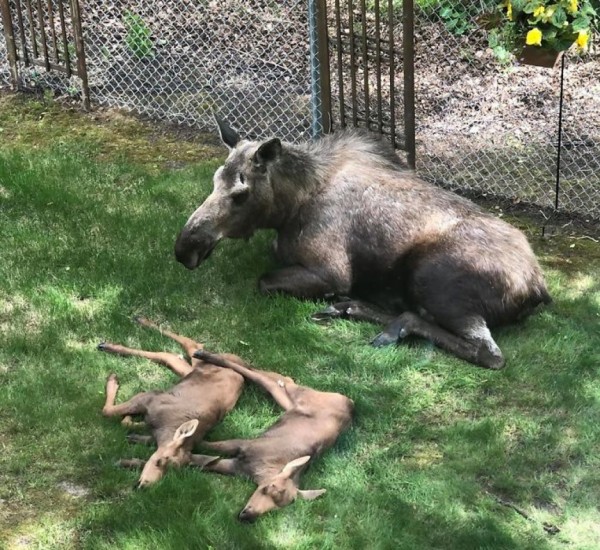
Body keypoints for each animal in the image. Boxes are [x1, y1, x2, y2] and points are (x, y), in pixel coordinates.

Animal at [99, 320, 245, 492]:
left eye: (173, 471)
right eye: (160, 460)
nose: (145, 485)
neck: (164, 429)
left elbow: (126, 423)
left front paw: (131, 423)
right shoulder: (150, 397)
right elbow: (108, 411)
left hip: (191, 371)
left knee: (169, 355)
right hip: (200, 363)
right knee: (188, 345)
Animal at [173, 120, 548, 370]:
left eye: (241, 193)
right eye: (214, 180)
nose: (185, 246)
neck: (289, 206)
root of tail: (537, 288)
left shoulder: (332, 271)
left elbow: (264, 280)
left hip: (433, 279)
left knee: (488, 353)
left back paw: (384, 321)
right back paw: (354, 308)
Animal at [190, 352, 354, 524]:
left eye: (277, 508)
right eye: (268, 488)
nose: (248, 516)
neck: (261, 471)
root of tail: (351, 403)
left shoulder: (237, 467)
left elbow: (203, 461)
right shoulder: (245, 445)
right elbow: (210, 445)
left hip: (289, 402)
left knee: (274, 378)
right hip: (298, 394)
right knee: (264, 378)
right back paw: (204, 355)